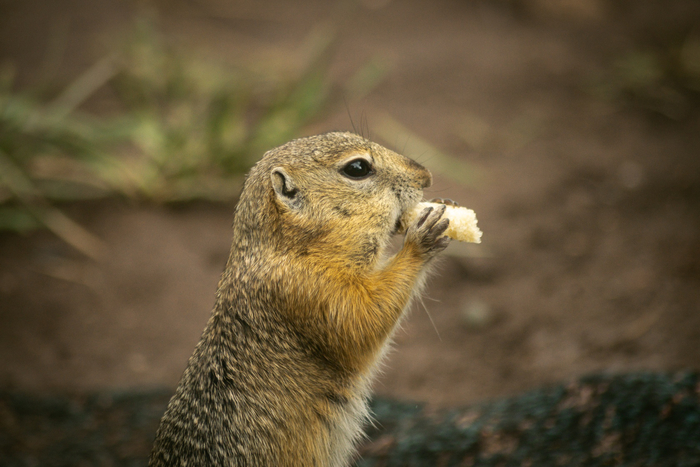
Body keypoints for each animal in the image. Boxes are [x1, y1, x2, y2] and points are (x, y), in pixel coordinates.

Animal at [150, 130, 452, 466]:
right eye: (357, 168)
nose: (425, 176)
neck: (291, 249)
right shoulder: (312, 291)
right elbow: (364, 320)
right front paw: (421, 238)